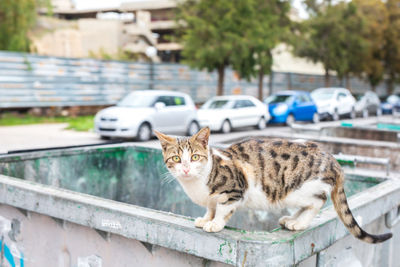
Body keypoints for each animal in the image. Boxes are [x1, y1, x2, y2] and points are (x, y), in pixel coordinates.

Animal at [155, 127, 392, 245]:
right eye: (176, 159)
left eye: (195, 157)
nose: (186, 169)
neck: (196, 183)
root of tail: (333, 160)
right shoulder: (211, 198)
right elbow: (210, 207)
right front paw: (206, 218)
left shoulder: (235, 189)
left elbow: (222, 209)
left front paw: (215, 224)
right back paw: (291, 219)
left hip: (299, 188)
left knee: (318, 201)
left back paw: (300, 222)